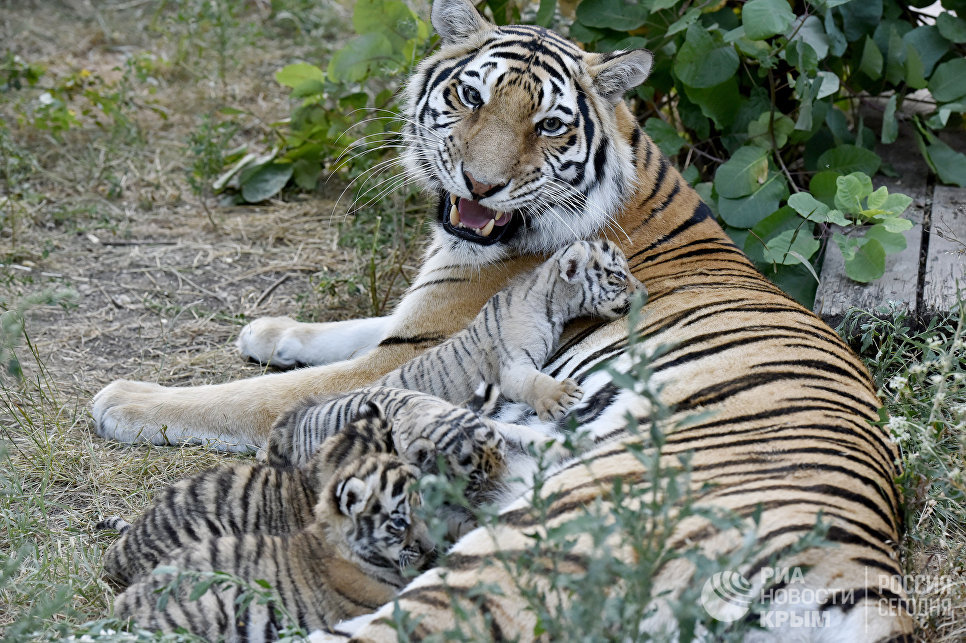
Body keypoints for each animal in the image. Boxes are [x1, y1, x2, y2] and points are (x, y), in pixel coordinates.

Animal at [89, 0, 908, 636]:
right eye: (471, 98)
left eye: (548, 125)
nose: (479, 184)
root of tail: (860, 567)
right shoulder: (415, 317)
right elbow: (344, 326)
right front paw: (266, 330)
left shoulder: (407, 354)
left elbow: (252, 397)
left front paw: (126, 399)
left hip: (541, 536)